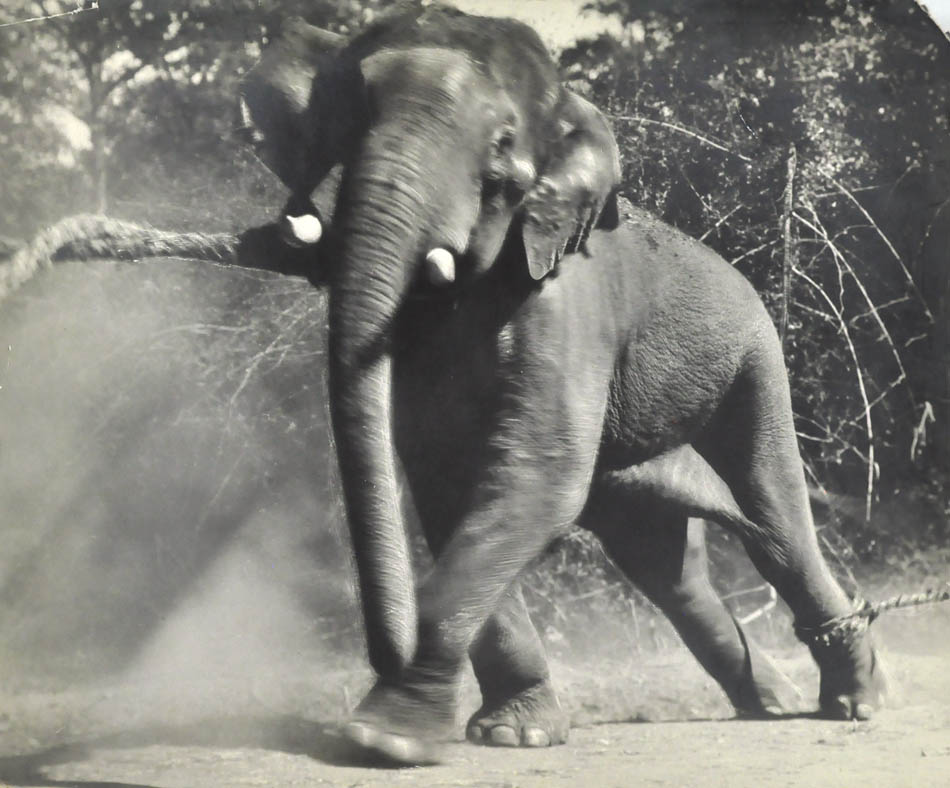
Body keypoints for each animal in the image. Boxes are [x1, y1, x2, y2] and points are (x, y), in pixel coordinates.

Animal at [238, 4, 886, 765]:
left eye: (500, 149)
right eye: (348, 118)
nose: (385, 654)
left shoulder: (564, 303)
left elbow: (536, 473)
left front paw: (383, 738)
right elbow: (447, 480)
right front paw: (513, 733)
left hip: (754, 366)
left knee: (776, 527)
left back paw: (854, 703)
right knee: (671, 572)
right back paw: (774, 704)